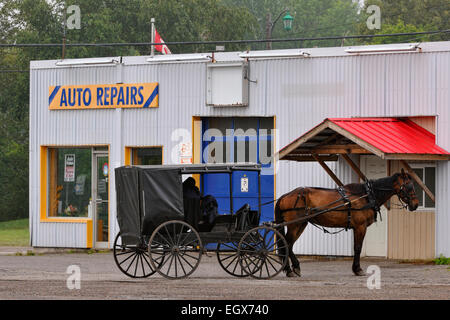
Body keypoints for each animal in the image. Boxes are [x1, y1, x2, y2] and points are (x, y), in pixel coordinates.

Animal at [274, 169, 418, 276]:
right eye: (409, 186)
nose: (415, 204)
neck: (366, 196)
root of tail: (285, 196)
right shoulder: (360, 227)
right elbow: (358, 248)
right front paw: (358, 269)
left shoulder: (356, 227)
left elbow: (356, 247)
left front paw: (356, 268)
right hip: (295, 224)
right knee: (287, 244)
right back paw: (289, 270)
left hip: (301, 224)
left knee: (289, 245)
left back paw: (295, 268)